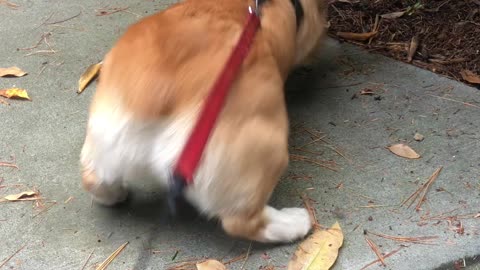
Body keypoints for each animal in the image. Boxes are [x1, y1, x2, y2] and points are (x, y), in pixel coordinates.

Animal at [80, 0, 328, 244]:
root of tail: (154, 96)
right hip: (262, 151)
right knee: (243, 222)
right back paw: (295, 222)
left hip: (105, 144)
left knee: (94, 180)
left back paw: (116, 194)